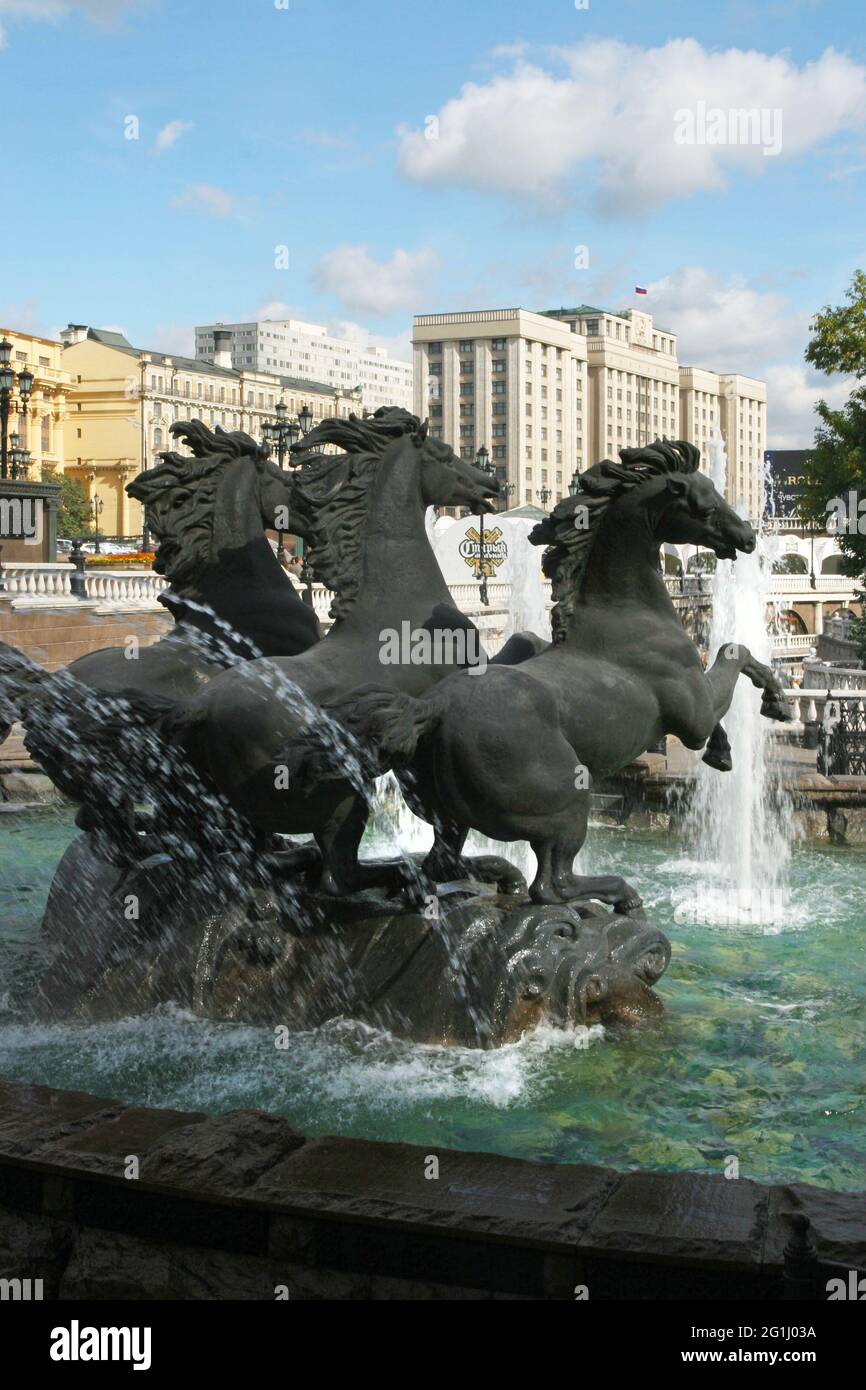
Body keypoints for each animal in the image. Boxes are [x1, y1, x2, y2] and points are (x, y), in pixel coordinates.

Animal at [332, 439, 795, 906]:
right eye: (707, 504)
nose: (748, 537)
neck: (626, 612)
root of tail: (433, 708)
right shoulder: (694, 713)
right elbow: (733, 651)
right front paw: (777, 704)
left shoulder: (696, 711)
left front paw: (726, 750)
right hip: (566, 798)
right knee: (552, 885)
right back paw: (619, 892)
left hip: (450, 816)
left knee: (444, 864)